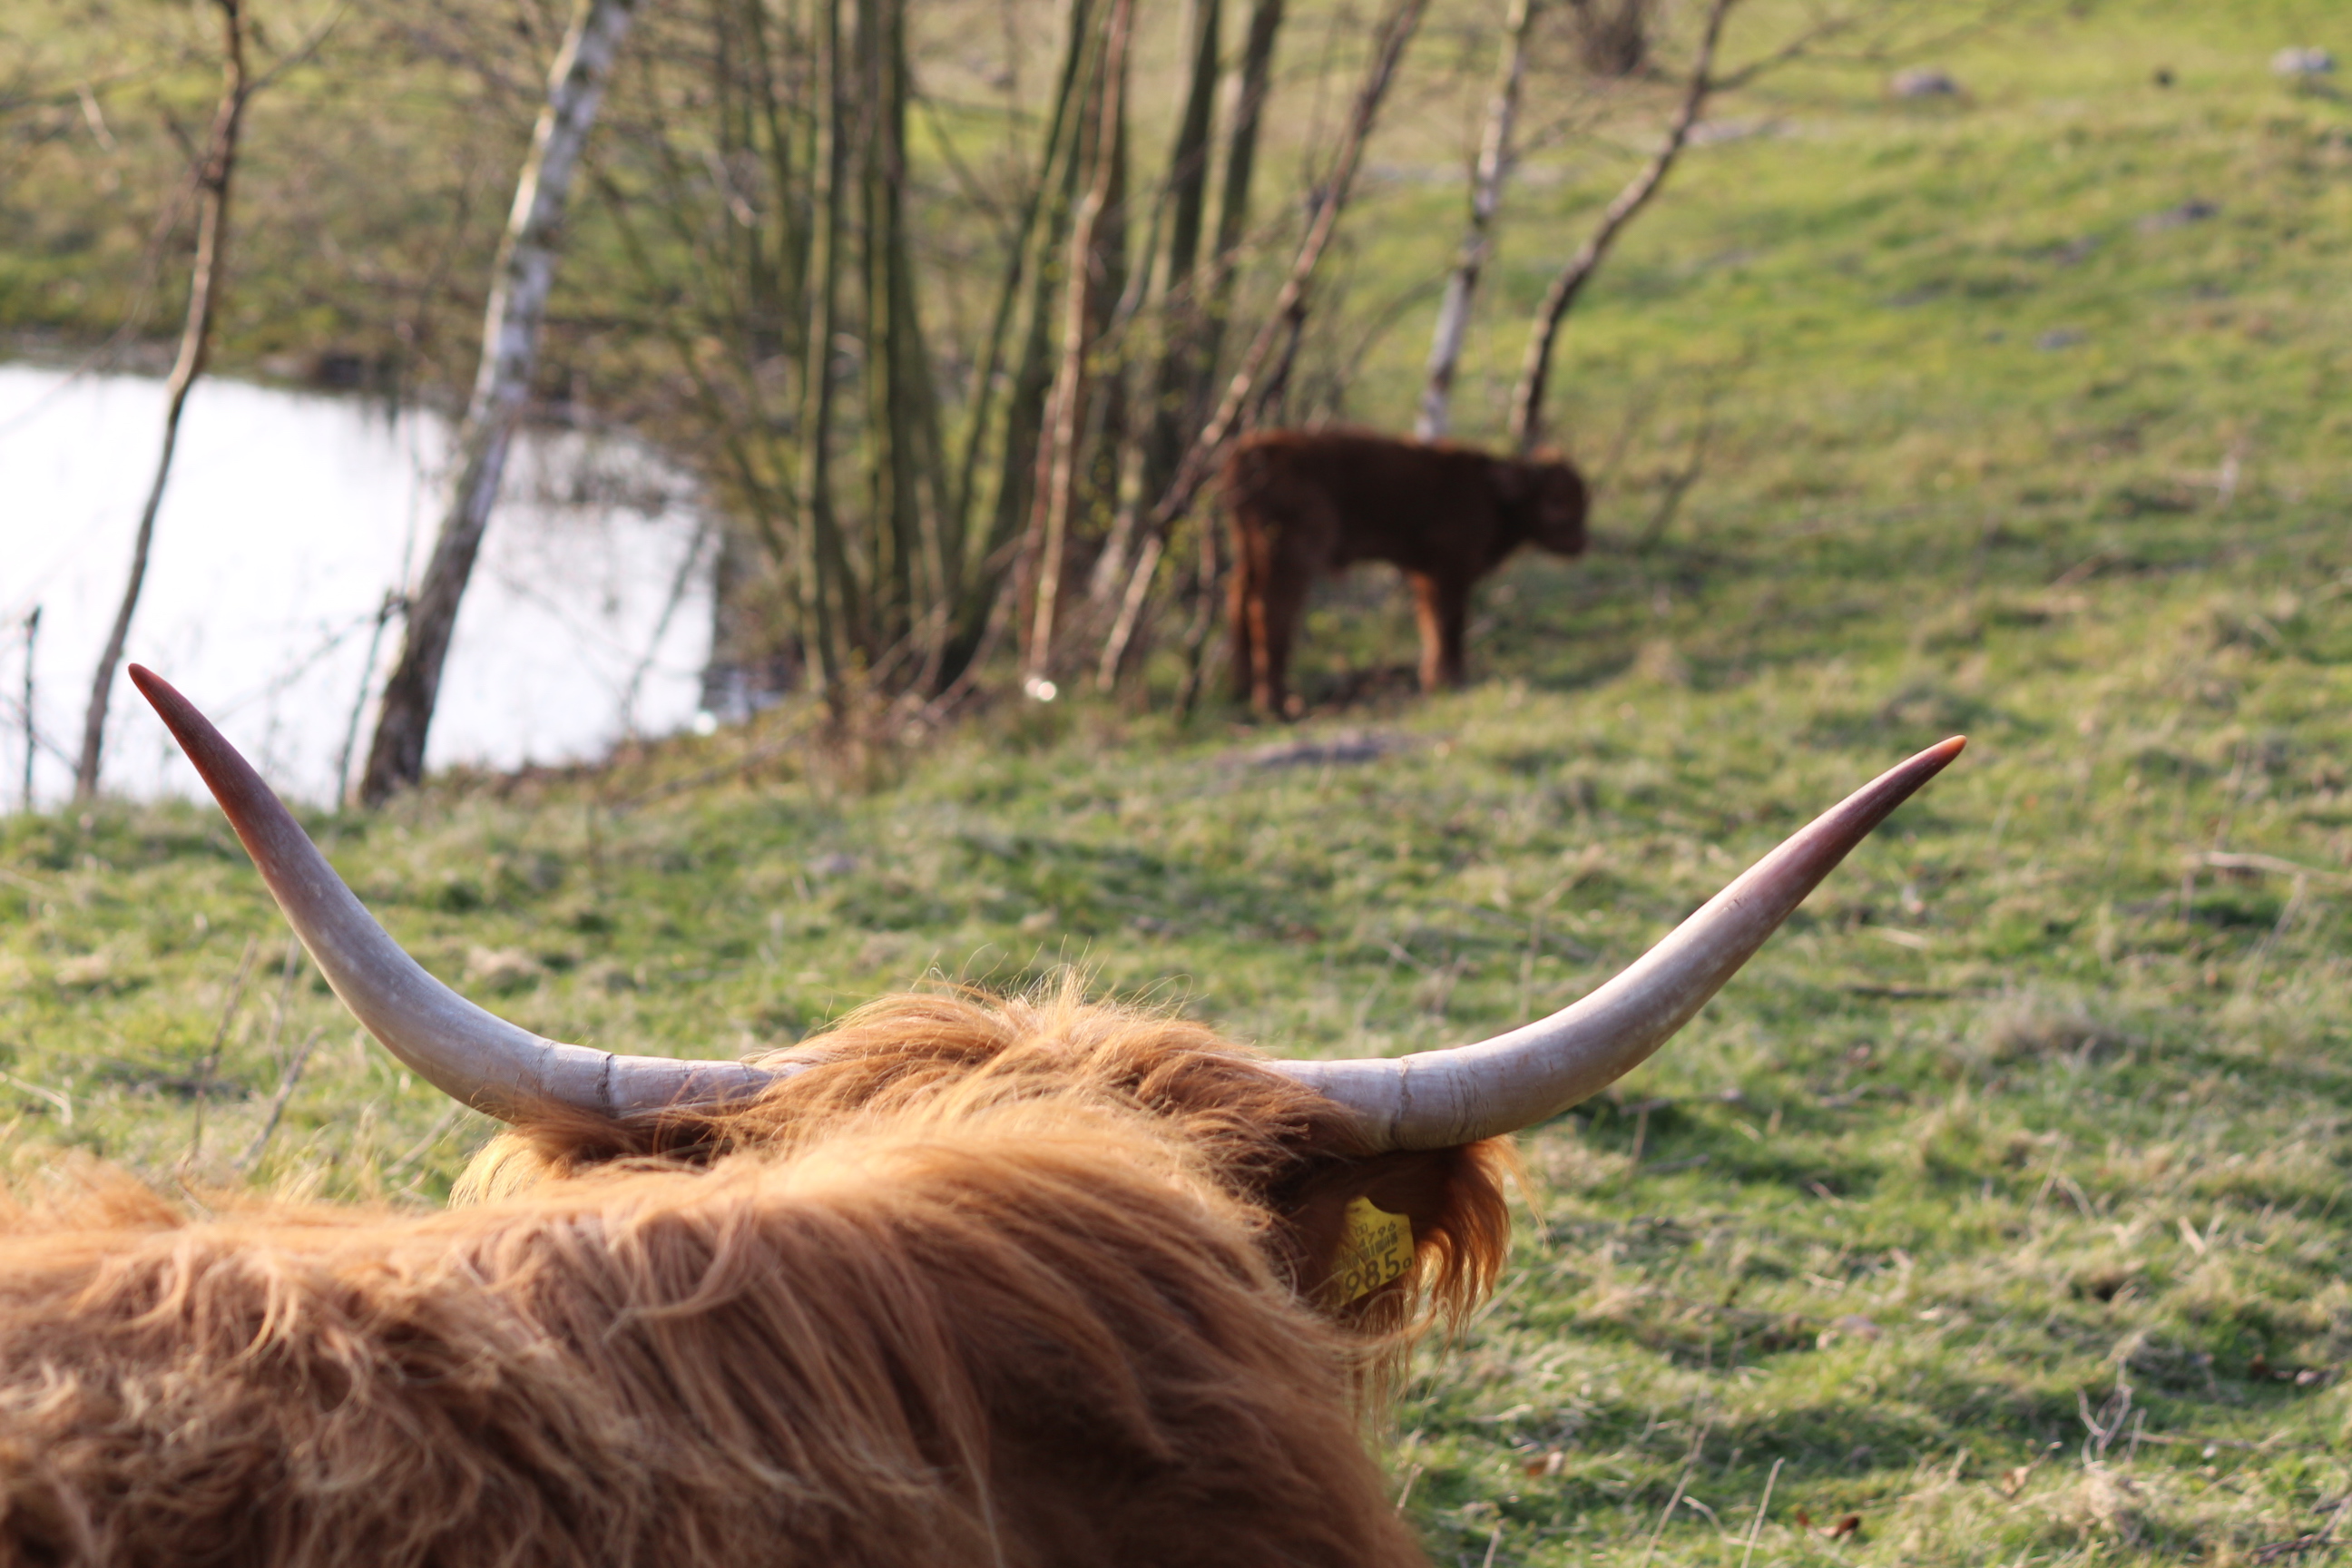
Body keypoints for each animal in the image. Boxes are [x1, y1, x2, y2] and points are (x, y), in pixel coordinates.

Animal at [1222, 425, 1590, 714]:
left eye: (1583, 500)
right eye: (1556, 500)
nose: (1580, 542)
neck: (1492, 494)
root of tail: (1253, 450)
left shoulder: (1425, 573)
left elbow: (1430, 622)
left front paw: (1433, 679)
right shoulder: (1449, 570)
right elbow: (1449, 623)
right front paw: (1452, 680)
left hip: (1250, 554)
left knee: (1239, 598)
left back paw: (1241, 689)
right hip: (1292, 558)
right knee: (1270, 610)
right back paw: (1277, 703)